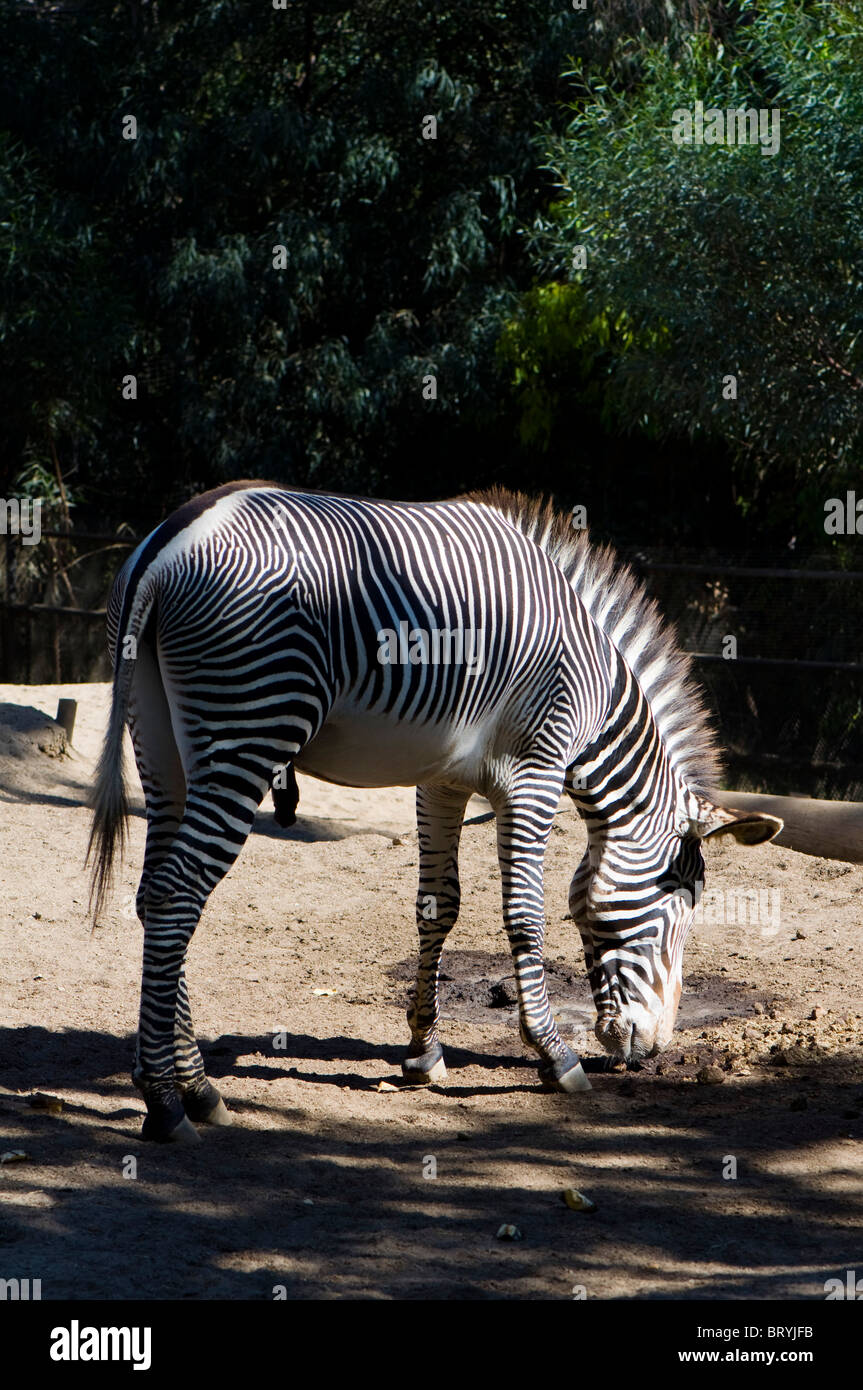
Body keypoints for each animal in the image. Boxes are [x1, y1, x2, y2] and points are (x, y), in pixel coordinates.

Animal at [88, 482, 782, 1142]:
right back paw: (165, 1102)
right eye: (684, 906)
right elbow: (524, 915)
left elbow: (437, 907)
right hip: (251, 724)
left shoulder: (442, 780)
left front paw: (423, 1053)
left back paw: (194, 1087)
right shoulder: (535, 769)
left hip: (163, 742)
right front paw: (554, 1055)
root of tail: (168, 543)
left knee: (153, 894)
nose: (654, 1048)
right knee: (177, 895)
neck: (596, 692)